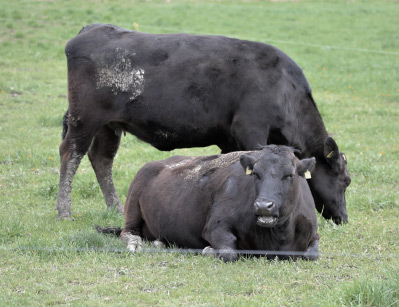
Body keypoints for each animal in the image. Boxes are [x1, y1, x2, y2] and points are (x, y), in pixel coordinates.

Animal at [57, 22, 352, 224]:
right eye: (346, 180)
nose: (344, 219)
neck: (284, 88)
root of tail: (93, 28)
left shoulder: (229, 140)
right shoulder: (251, 129)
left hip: (109, 126)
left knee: (101, 160)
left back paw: (116, 209)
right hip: (85, 119)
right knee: (70, 154)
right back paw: (64, 211)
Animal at [97, 147, 322, 262]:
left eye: (290, 174)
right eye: (256, 174)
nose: (263, 205)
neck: (278, 239)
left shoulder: (313, 234)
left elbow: (312, 254)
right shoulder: (215, 227)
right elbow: (230, 252)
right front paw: (208, 250)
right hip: (132, 205)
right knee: (128, 232)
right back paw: (136, 244)